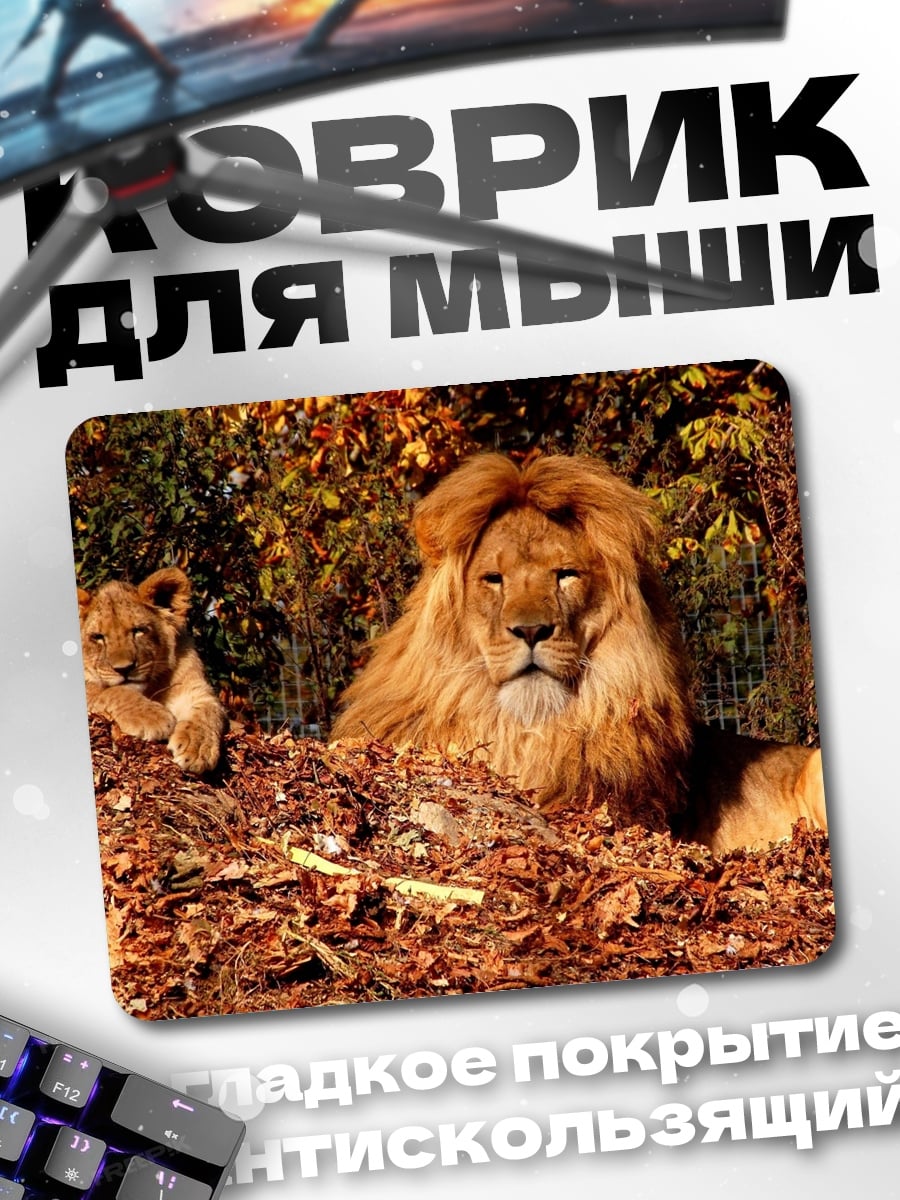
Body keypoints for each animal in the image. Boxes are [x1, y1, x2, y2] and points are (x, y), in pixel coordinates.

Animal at [77, 567, 226, 775]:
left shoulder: (197, 692)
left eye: (138, 630)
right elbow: (114, 691)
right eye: (98, 637)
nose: (124, 669)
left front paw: (197, 748)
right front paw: (153, 717)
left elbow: (207, 714)